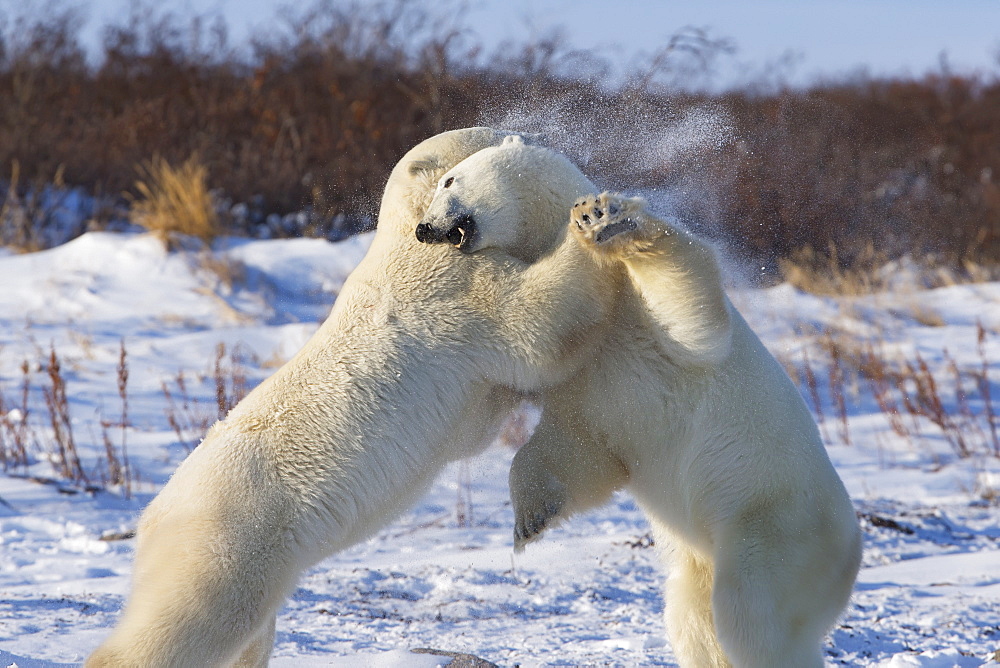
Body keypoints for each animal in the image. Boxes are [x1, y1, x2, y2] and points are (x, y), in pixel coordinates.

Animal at [88, 128, 616, 664]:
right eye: (453, 174)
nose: (521, 134)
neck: (407, 229)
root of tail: (152, 518)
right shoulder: (453, 286)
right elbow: (539, 322)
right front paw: (590, 223)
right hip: (232, 533)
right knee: (194, 618)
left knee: (246, 638)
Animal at [418, 144, 864, 664]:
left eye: (449, 180)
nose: (422, 228)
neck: (610, 319)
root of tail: (851, 543)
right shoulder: (584, 381)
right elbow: (582, 448)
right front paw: (530, 519)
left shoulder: (655, 325)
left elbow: (693, 318)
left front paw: (603, 219)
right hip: (706, 554)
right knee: (693, 618)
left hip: (777, 522)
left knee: (753, 611)